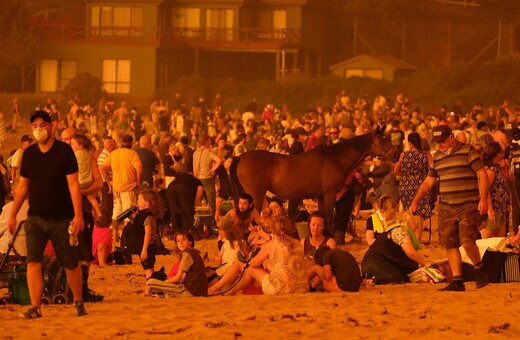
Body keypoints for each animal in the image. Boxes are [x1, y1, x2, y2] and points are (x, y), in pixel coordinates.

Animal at [229, 126, 398, 227]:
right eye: (381, 139)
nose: (395, 154)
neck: (335, 158)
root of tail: (240, 157)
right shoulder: (330, 194)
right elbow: (328, 218)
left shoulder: (321, 197)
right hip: (256, 196)